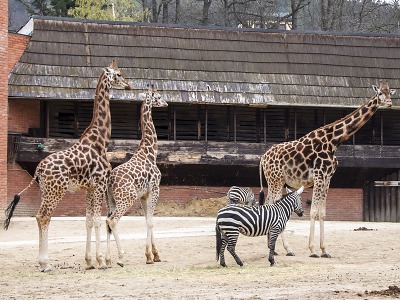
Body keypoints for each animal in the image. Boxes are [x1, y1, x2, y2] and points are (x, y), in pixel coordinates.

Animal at [3, 60, 131, 272]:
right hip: (57, 191)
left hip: (46, 191)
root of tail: (39, 170)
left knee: (39, 216)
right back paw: (45, 264)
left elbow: (88, 221)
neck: (100, 141)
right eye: (119, 74)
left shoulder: (89, 188)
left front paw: (89, 262)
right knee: (43, 217)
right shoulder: (99, 185)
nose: (129, 85)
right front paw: (101, 262)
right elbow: (98, 220)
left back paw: (43, 262)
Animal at [104, 83, 167, 266]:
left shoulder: (143, 195)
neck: (151, 152)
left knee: (107, 222)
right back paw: (120, 258)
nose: (166, 103)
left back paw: (107, 259)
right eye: (158, 96)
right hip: (127, 198)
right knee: (112, 220)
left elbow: (147, 221)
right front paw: (149, 257)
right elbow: (151, 222)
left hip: (111, 200)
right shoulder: (154, 189)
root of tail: (109, 182)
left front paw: (154, 255)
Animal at [260, 81, 394, 258]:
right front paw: (313, 250)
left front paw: (324, 250)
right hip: (276, 179)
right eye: (379, 93)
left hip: (274, 181)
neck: (334, 141)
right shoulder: (318, 175)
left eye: (390, 93)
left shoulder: (328, 177)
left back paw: (272, 248)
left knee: (268, 204)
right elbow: (313, 212)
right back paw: (287, 249)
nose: (390, 103)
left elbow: (322, 212)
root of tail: (262, 158)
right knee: (274, 205)